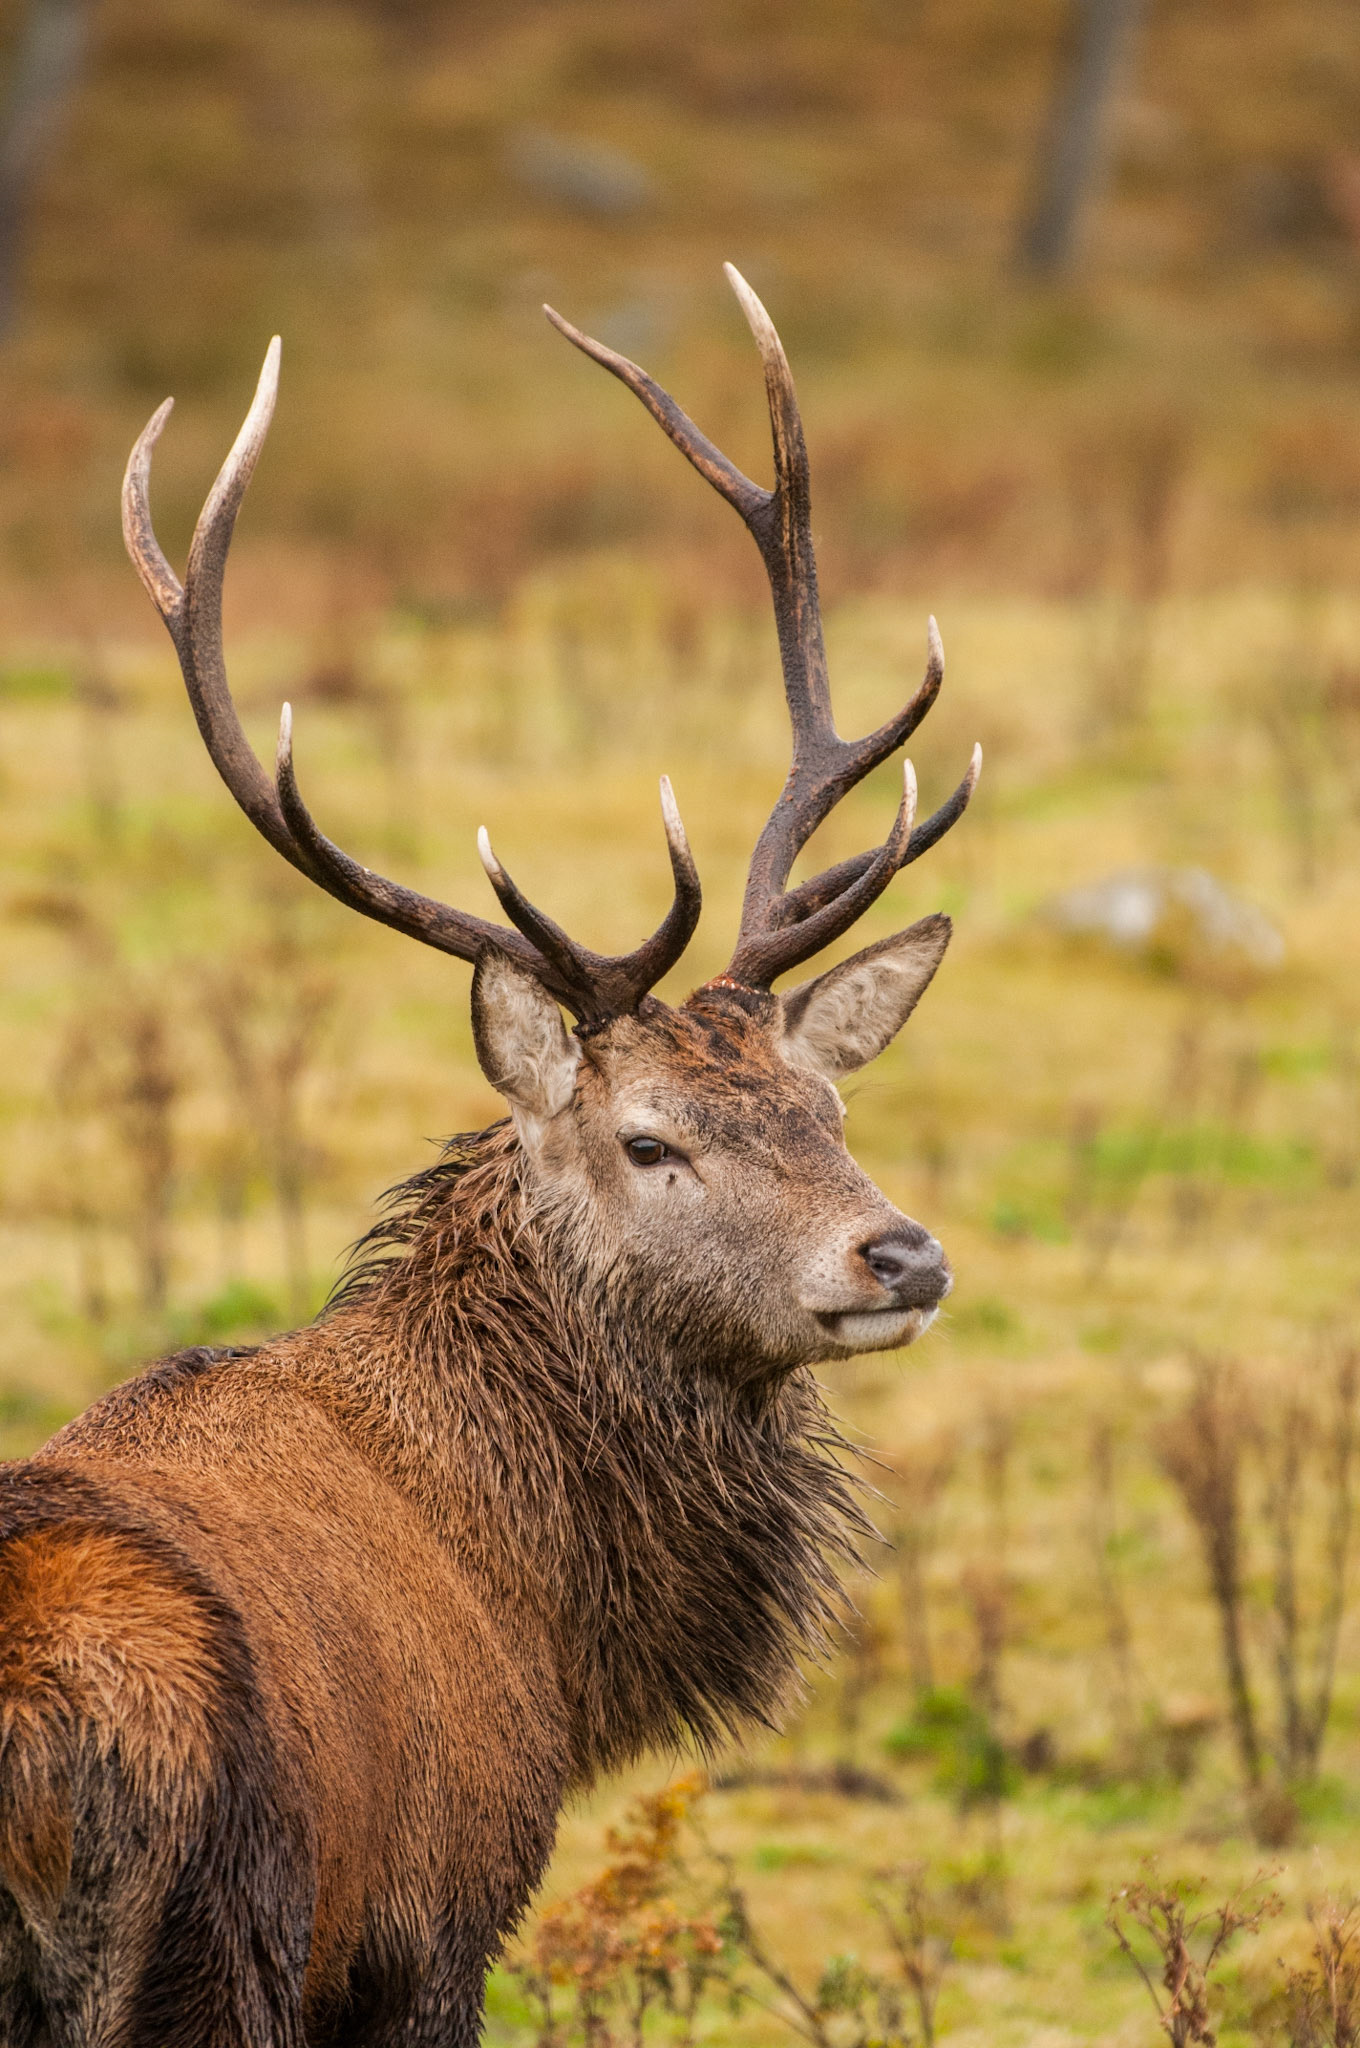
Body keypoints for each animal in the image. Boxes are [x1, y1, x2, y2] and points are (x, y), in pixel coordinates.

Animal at [0, 266, 980, 2048]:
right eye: (651, 1139)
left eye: (829, 1112)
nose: (905, 1253)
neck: (539, 1612)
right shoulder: (431, 1916)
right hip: (211, 1946)